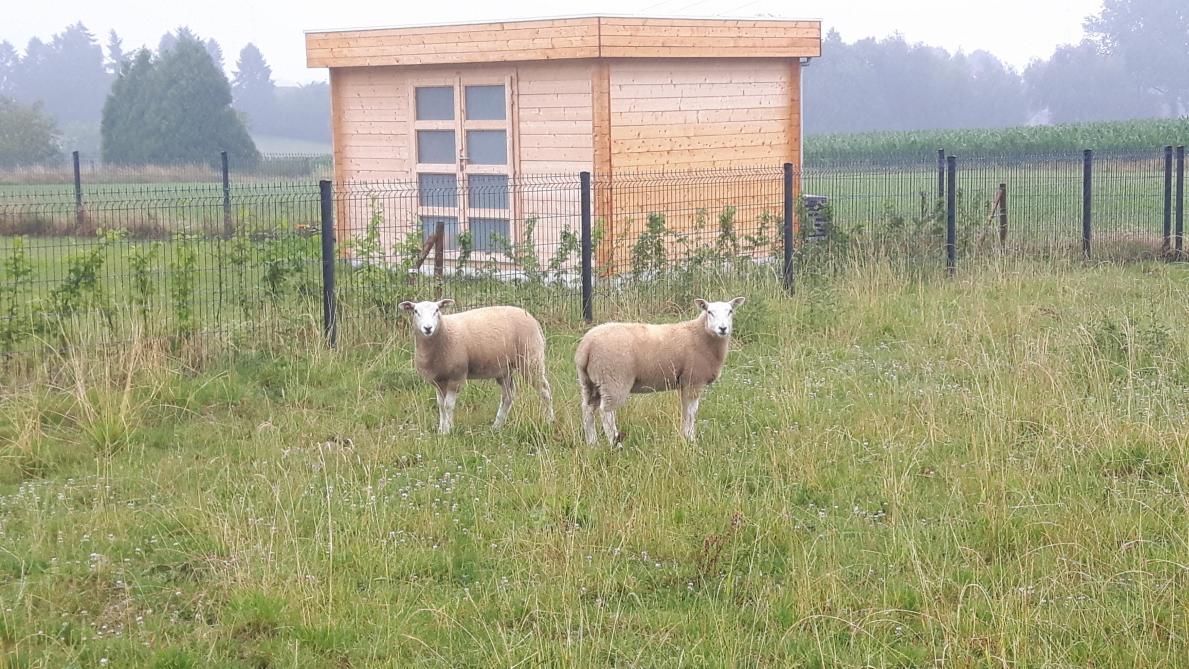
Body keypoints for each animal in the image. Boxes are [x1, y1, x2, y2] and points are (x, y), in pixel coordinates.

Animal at [394, 300, 551, 437]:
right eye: (415, 311)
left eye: (437, 310)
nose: (428, 328)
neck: (444, 333)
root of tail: (533, 319)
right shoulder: (438, 381)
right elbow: (440, 405)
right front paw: (441, 429)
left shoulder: (456, 377)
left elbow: (448, 405)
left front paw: (448, 431)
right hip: (504, 369)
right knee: (508, 396)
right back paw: (497, 426)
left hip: (531, 359)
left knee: (545, 390)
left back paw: (549, 419)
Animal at [573, 297, 741, 444]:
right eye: (709, 312)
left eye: (730, 311)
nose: (723, 328)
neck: (701, 335)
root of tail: (586, 345)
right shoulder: (694, 381)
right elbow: (692, 412)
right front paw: (691, 439)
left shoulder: (685, 383)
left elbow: (685, 410)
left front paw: (685, 437)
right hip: (613, 379)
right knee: (606, 412)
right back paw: (615, 443)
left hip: (589, 381)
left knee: (587, 409)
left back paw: (592, 443)